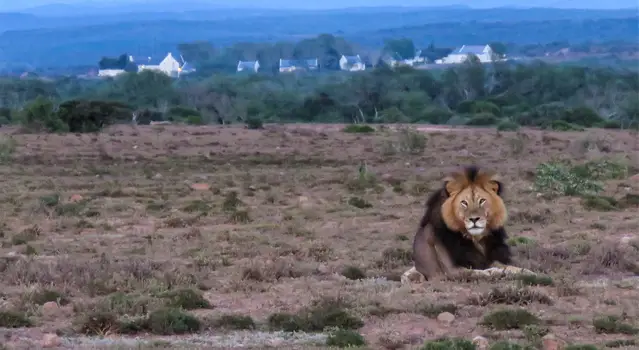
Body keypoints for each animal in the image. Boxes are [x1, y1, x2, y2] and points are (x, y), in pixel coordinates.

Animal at [400, 165, 536, 284]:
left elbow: (510, 267)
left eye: (482, 201)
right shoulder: (450, 271)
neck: (475, 239)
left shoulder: (489, 259)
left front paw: (528, 272)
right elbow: (474, 273)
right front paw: (495, 272)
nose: (474, 219)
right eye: (464, 203)